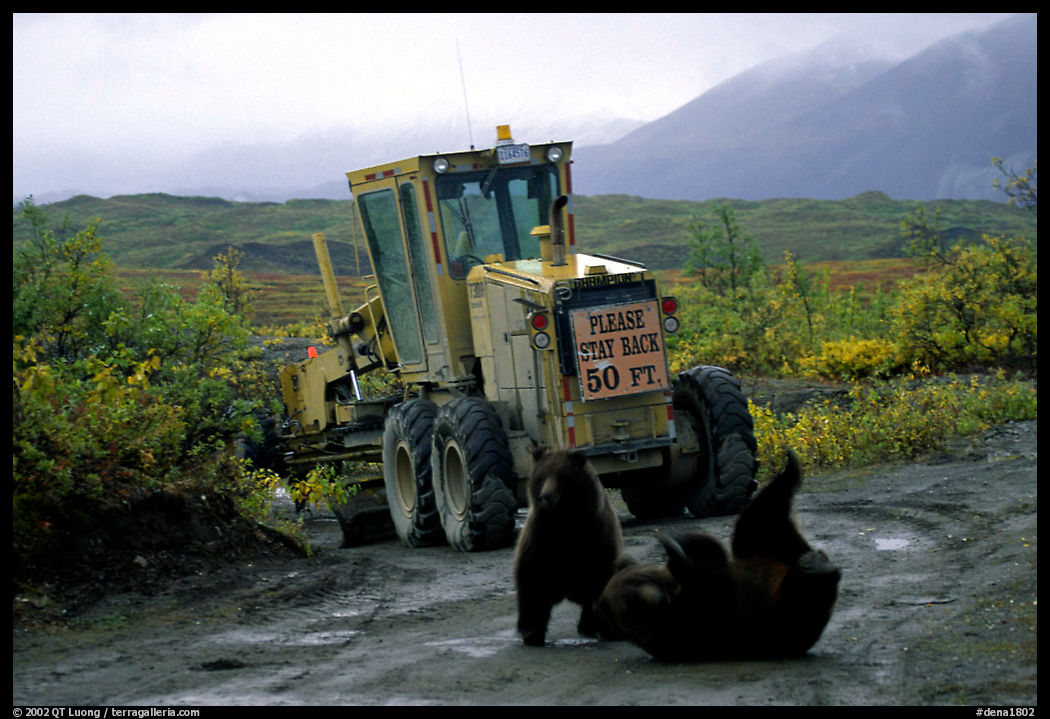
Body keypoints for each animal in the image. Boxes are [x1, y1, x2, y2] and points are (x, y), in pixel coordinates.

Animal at [512, 447, 624, 646]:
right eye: (542, 476)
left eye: (562, 476)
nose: (545, 496)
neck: (564, 518)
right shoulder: (540, 538)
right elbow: (532, 579)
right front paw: (532, 631)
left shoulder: (596, 537)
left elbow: (600, 580)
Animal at [595, 448, 840, 661]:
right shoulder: (700, 619)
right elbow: (705, 579)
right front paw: (676, 548)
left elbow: (707, 549)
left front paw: (676, 540)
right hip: (784, 610)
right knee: (763, 523)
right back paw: (816, 564)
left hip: (765, 552)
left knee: (760, 520)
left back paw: (791, 467)